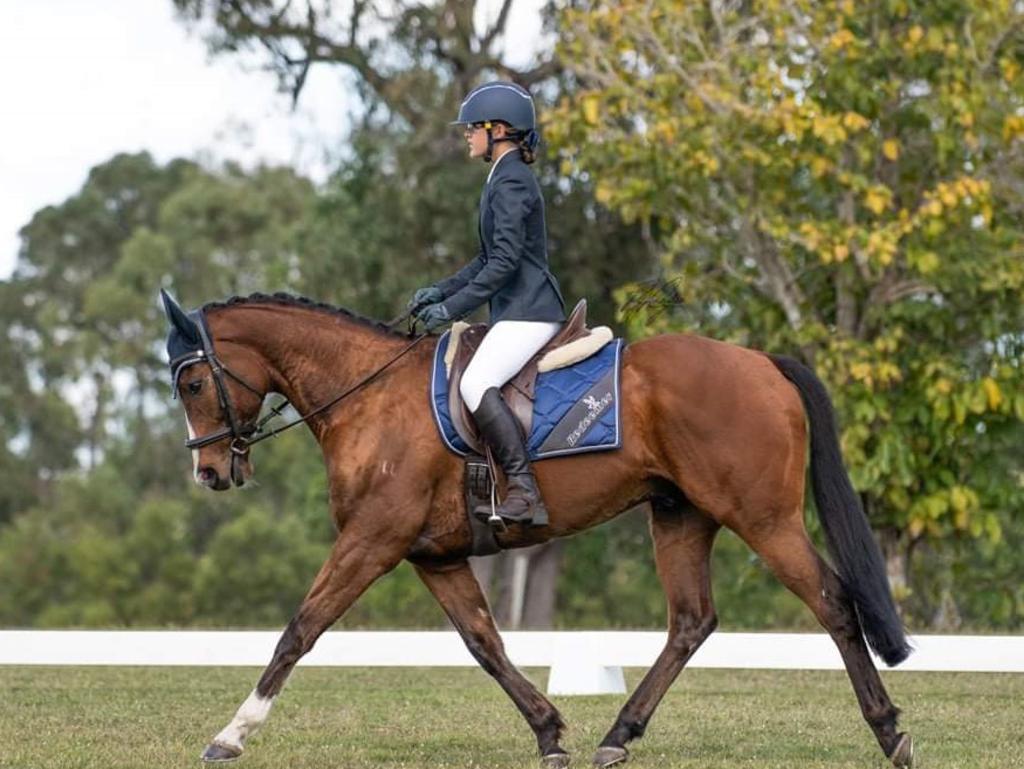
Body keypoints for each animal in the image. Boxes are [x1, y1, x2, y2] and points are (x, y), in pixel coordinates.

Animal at [163, 290, 917, 765]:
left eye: (193, 383)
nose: (209, 472)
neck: (368, 396)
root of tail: (763, 362)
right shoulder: (434, 556)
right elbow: (485, 644)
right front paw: (550, 732)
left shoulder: (372, 540)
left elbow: (301, 629)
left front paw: (231, 735)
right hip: (681, 515)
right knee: (691, 621)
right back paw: (617, 735)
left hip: (760, 517)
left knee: (833, 601)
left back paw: (890, 733)